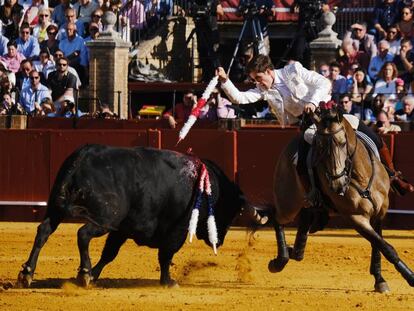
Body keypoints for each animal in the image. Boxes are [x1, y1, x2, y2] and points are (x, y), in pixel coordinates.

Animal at [17, 145, 262, 288]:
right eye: (230, 212)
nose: (219, 241)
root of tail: (82, 158)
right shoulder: (177, 230)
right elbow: (166, 256)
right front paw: (168, 282)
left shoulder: (122, 230)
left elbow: (109, 254)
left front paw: (96, 275)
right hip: (106, 216)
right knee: (82, 234)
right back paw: (83, 273)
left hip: (56, 209)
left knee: (43, 231)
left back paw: (27, 273)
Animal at [268, 106, 414, 292]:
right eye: (319, 148)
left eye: (343, 143)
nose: (337, 184)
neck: (360, 176)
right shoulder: (355, 217)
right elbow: (386, 247)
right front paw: (410, 278)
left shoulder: (380, 212)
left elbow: (378, 244)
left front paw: (379, 279)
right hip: (288, 203)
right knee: (276, 216)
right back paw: (280, 260)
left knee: (305, 217)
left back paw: (296, 249)